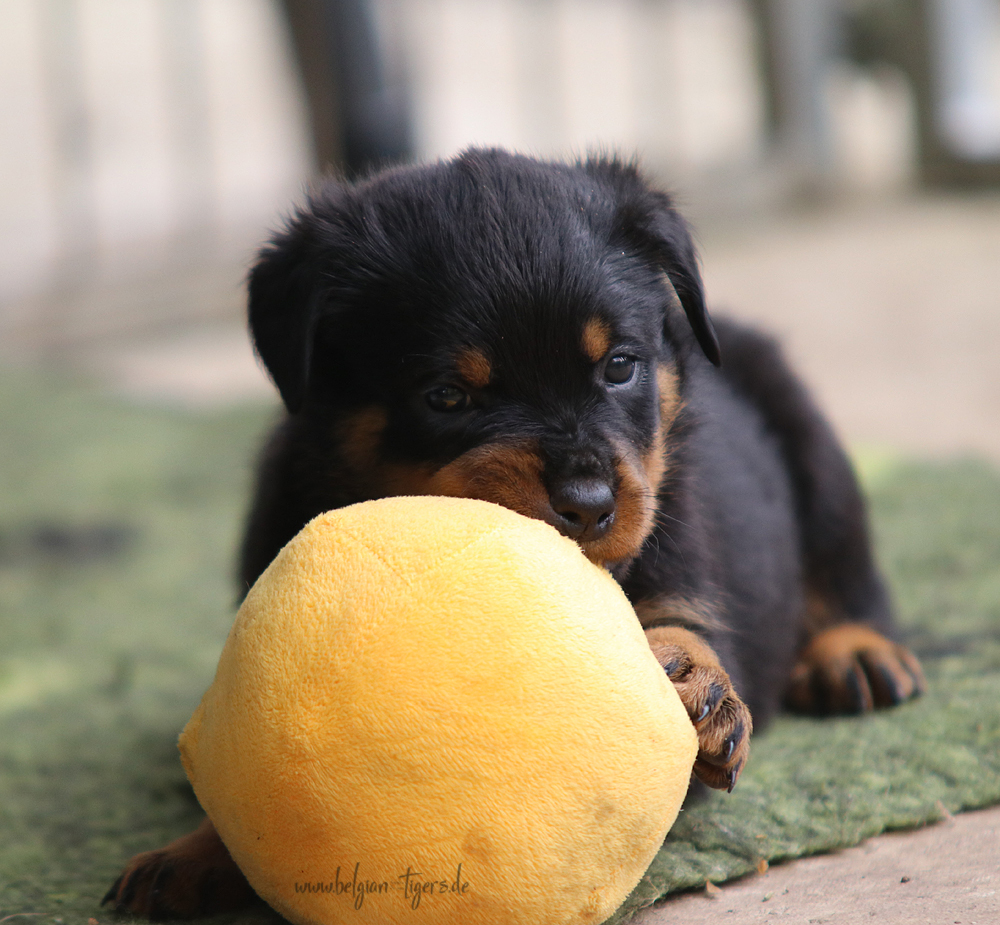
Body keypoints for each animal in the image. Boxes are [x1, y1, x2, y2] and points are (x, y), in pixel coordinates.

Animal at [104, 148, 924, 919]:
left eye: (620, 366)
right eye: (446, 396)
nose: (589, 503)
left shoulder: (683, 560)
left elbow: (682, 628)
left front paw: (699, 684)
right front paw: (193, 853)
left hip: (806, 431)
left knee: (845, 561)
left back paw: (854, 654)